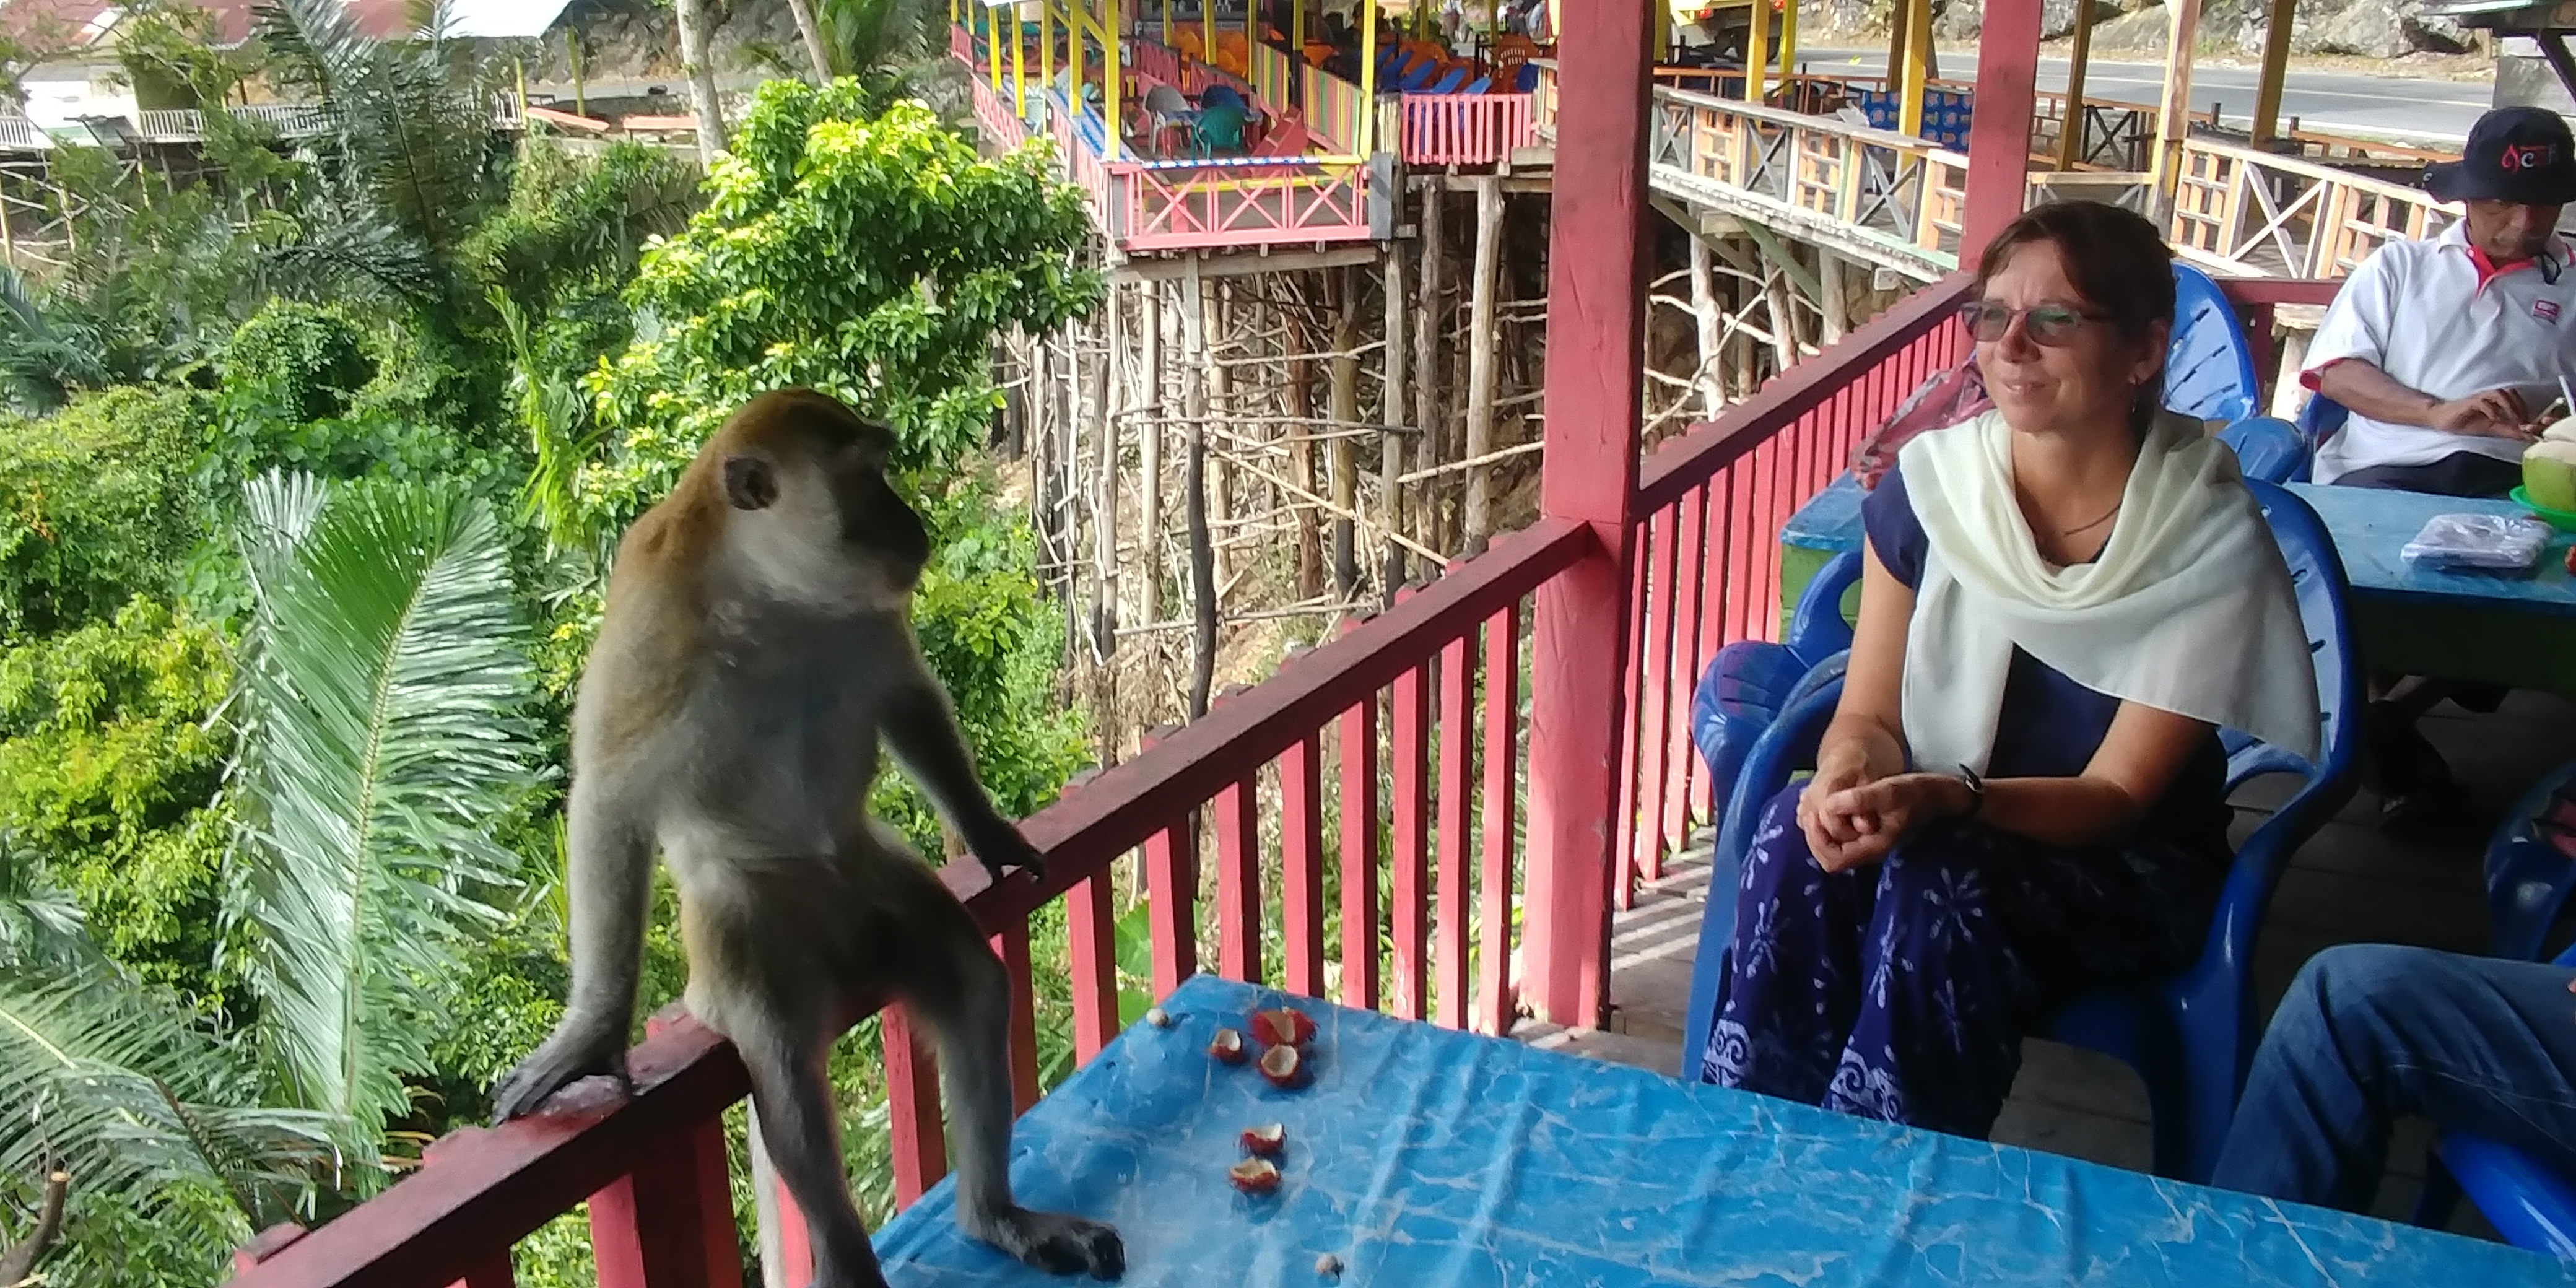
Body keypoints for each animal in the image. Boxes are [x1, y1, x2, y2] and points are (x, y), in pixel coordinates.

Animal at [490, 389, 1124, 1287]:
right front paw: (592, 1032)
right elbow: (609, 799)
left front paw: (989, 833)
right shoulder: (651, 625)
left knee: (971, 985)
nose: (908, 521)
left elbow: (903, 695)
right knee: (786, 1075)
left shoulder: (863, 618)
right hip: (746, 926)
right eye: (863, 479)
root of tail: (847, 948)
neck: (769, 597)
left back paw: (993, 1215)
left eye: (884, 468)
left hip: (875, 882)